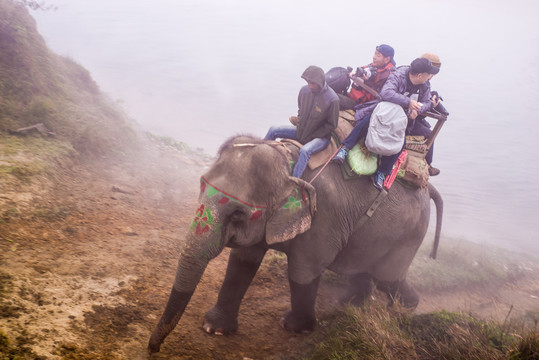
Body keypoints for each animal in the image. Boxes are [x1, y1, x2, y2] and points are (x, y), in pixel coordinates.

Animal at [149, 135, 442, 354]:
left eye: (238, 214)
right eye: (200, 185)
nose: (153, 350)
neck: (288, 164)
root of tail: (428, 185)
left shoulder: (322, 215)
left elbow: (303, 271)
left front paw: (294, 327)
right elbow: (243, 261)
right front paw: (215, 328)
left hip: (409, 234)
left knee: (388, 279)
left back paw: (404, 309)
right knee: (363, 270)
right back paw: (351, 305)